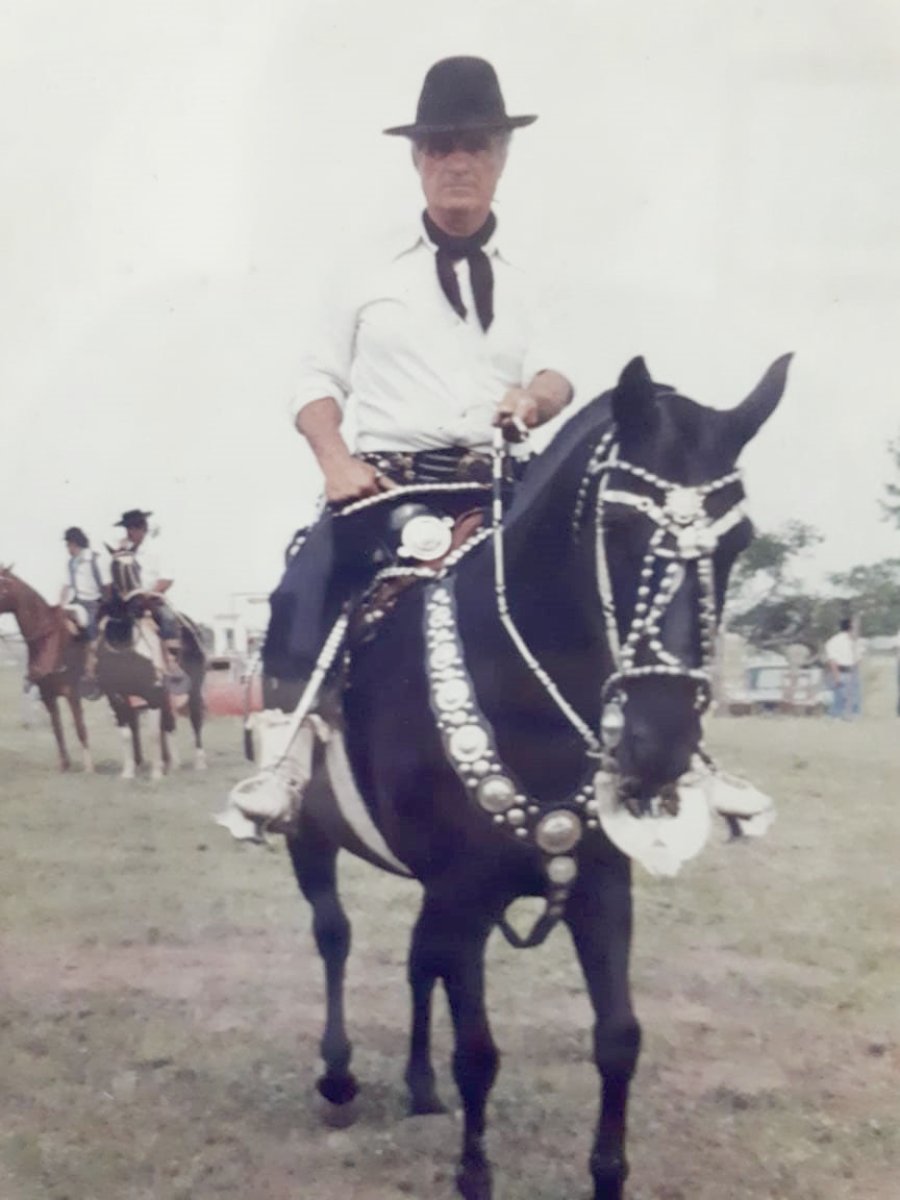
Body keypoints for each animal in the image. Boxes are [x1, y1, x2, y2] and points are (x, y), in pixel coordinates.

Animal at [0, 568, 94, 772]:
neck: (48, 640)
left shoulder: (72, 692)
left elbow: (80, 727)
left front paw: (89, 768)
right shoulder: (47, 694)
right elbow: (57, 728)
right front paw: (65, 764)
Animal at [97, 549, 210, 777]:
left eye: (136, 566)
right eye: (114, 567)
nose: (139, 601)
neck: (126, 644)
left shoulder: (152, 692)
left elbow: (153, 733)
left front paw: (156, 773)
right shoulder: (115, 695)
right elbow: (126, 733)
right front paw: (128, 773)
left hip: (194, 687)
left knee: (195, 718)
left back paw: (199, 763)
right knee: (170, 723)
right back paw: (174, 764)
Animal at [282, 350, 787, 1195]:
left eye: (739, 537)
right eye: (617, 525)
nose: (659, 742)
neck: (522, 689)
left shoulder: (597, 885)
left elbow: (618, 1038)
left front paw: (607, 1173)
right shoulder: (464, 887)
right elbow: (479, 1052)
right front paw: (474, 1174)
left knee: (418, 957)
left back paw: (419, 1085)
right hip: (308, 832)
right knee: (332, 933)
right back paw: (339, 1076)